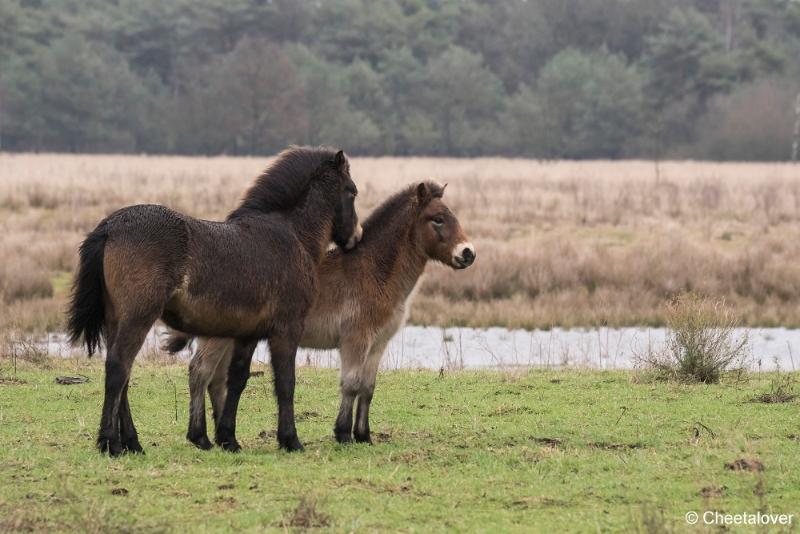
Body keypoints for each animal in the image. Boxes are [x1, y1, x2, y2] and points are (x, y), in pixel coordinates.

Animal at [67, 147, 360, 456]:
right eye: (352, 191)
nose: (356, 236)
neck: (291, 235)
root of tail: (109, 227)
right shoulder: (286, 329)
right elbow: (285, 382)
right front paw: (290, 440)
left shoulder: (248, 333)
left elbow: (237, 379)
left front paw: (228, 437)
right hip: (138, 316)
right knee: (118, 368)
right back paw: (110, 442)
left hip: (116, 319)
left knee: (122, 374)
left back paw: (132, 443)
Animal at [165, 182, 472, 450]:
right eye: (438, 219)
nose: (468, 254)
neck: (373, 272)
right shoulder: (355, 339)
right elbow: (351, 383)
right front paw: (343, 434)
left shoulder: (378, 343)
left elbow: (368, 387)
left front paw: (364, 435)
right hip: (217, 336)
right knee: (200, 373)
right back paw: (203, 438)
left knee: (216, 380)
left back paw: (221, 436)